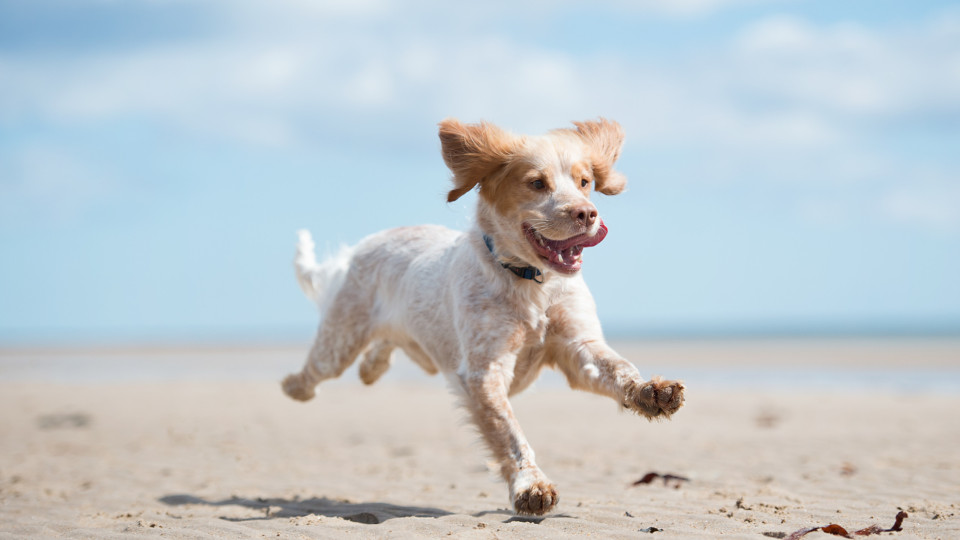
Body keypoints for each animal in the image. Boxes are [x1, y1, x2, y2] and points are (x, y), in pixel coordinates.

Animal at [282, 117, 688, 516]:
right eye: (536, 183)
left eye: (584, 182)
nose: (587, 214)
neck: (531, 282)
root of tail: (359, 247)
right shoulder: (484, 370)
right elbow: (509, 432)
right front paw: (531, 486)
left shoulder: (579, 346)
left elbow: (620, 368)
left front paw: (652, 392)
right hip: (338, 344)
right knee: (315, 372)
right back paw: (294, 385)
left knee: (382, 348)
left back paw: (371, 369)